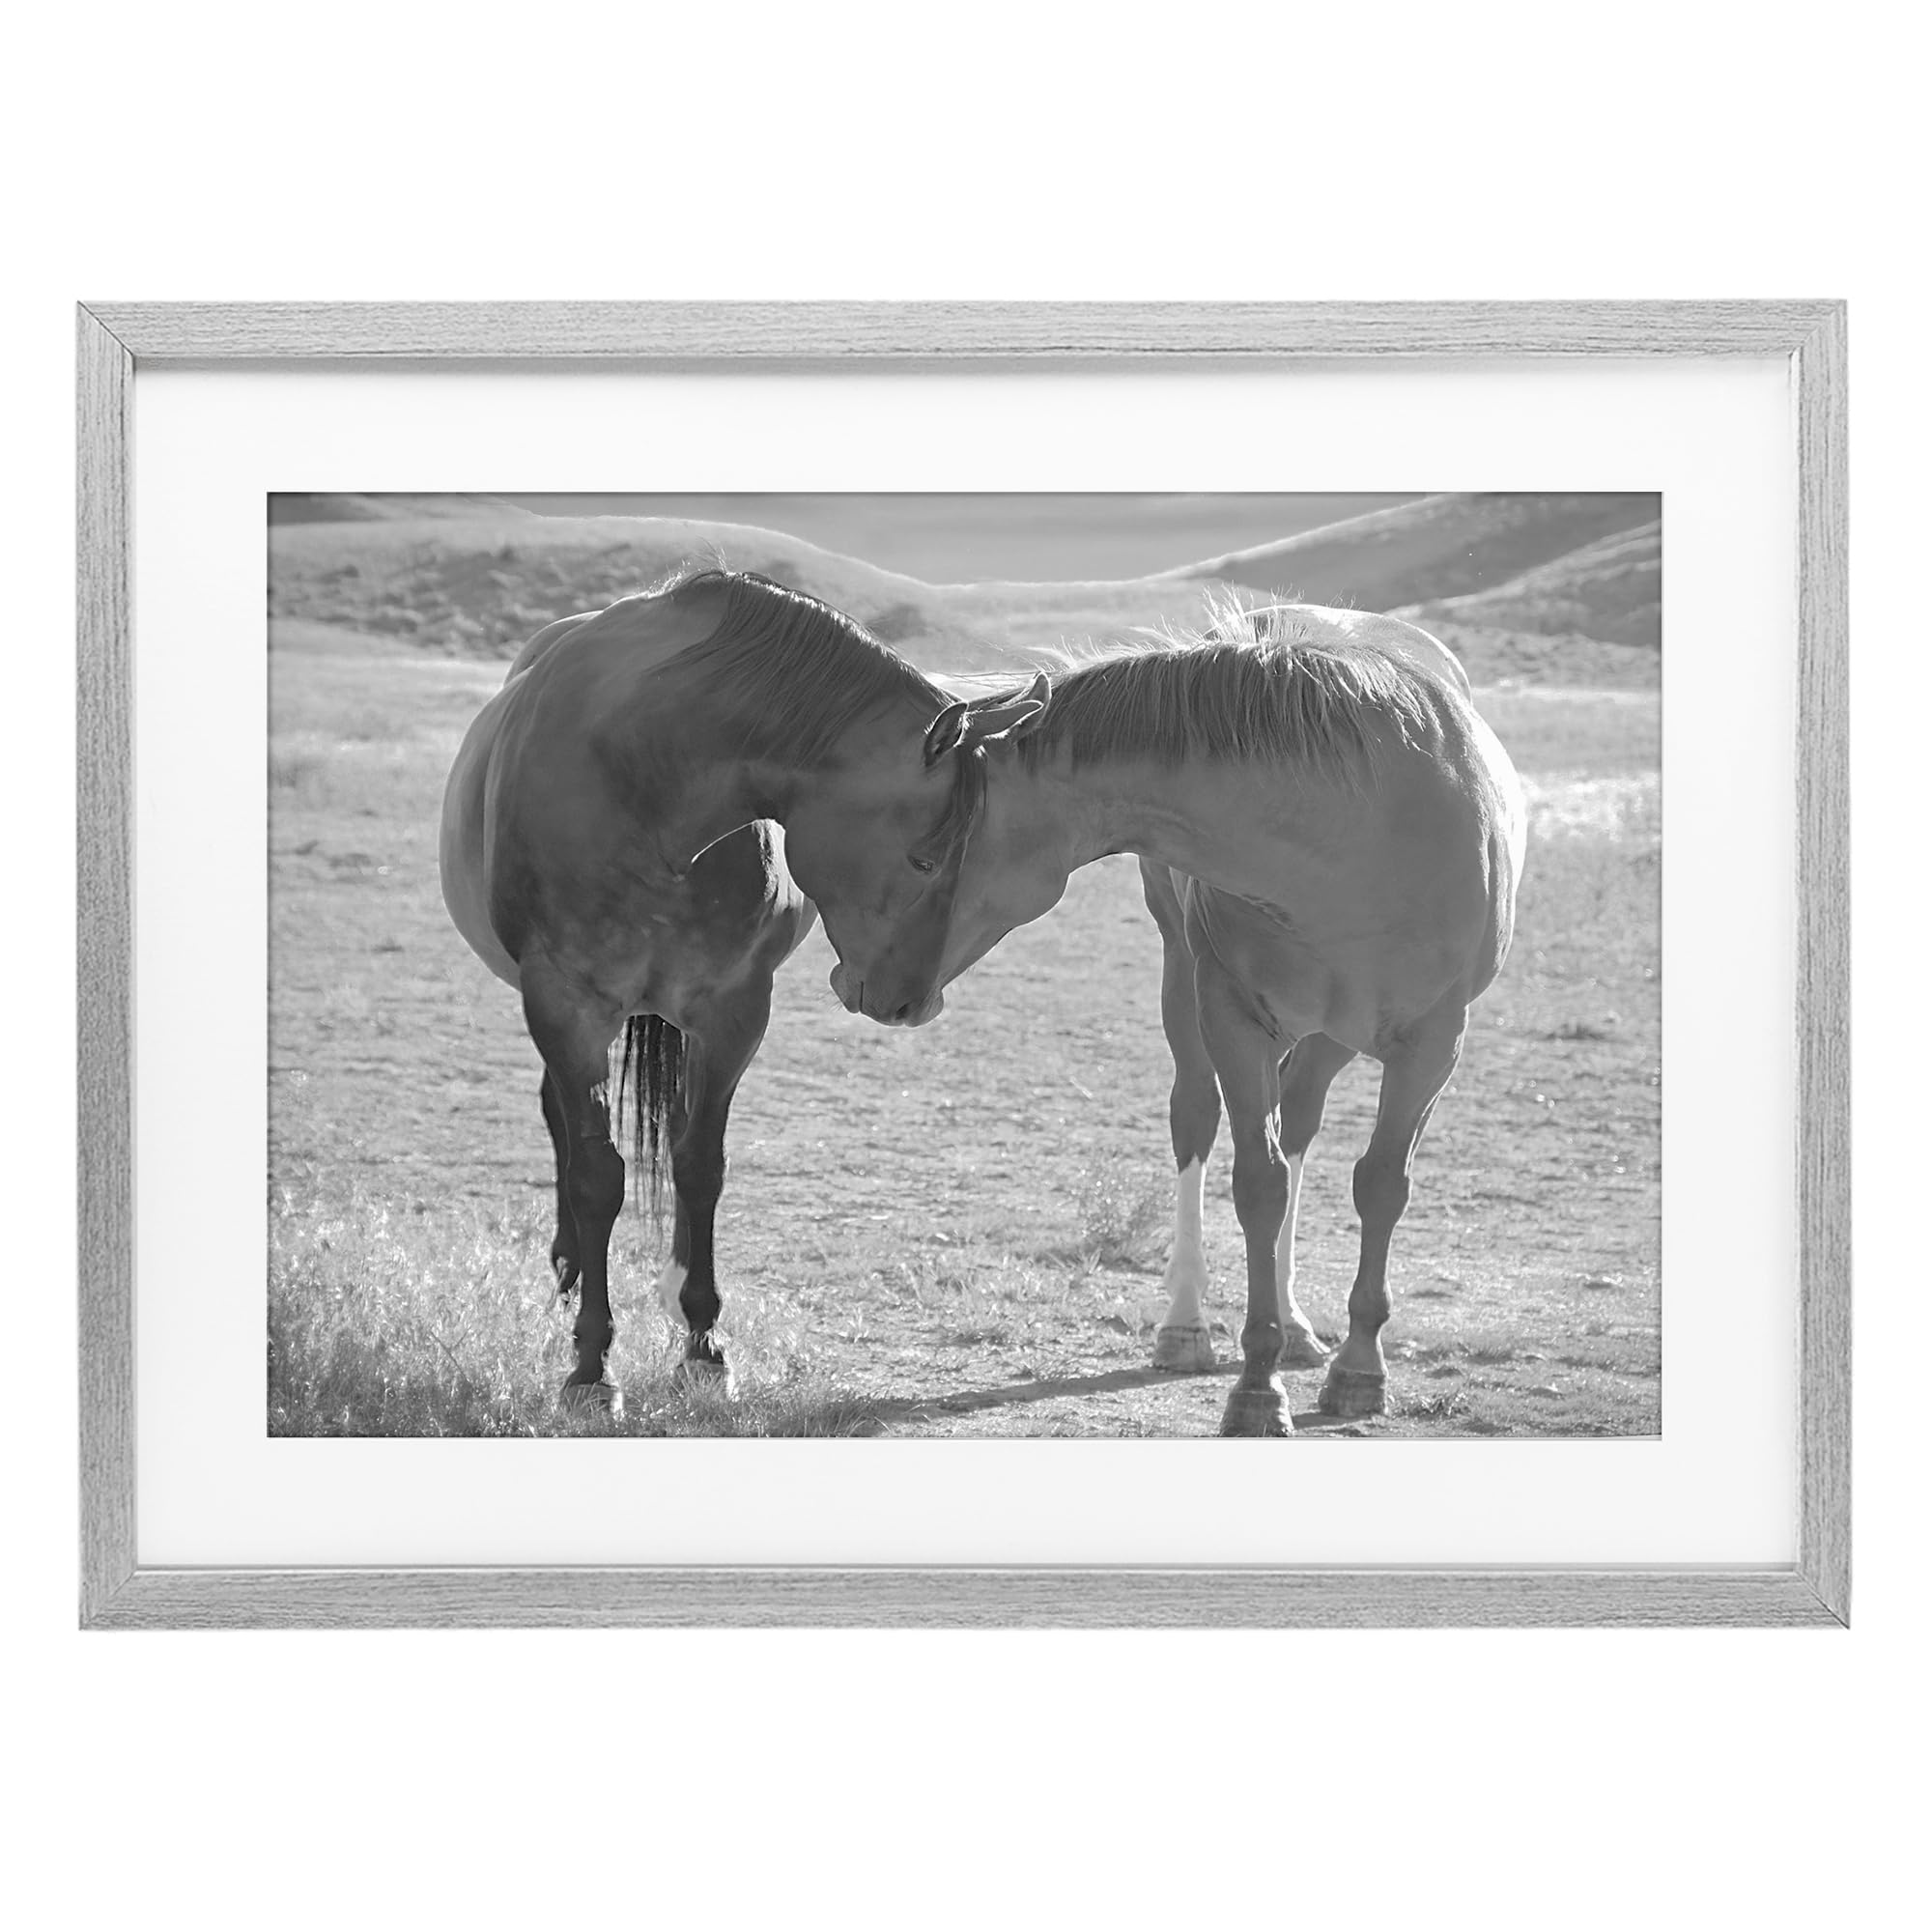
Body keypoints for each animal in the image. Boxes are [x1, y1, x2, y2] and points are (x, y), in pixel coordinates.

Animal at [439, 566, 1036, 1410]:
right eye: (925, 857)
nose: (912, 1002)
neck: (644, 781)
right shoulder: (564, 1005)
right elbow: (596, 1175)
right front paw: (591, 1365)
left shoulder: (732, 1012)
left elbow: (700, 1165)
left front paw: (702, 1344)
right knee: (560, 1119)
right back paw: (569, 1266)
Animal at [843, 595, 1527, 1438]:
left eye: (924, 855)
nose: (863, 986)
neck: (1354, 831)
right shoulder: (1232, 1018)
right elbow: (1258, 1184)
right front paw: (1258, 1387)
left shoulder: (1433, 1045)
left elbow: (1379, 1187)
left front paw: (1359, 1368)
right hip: (1187, 985)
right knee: (1197, 1120)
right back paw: (1187, 1326)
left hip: (1332, 1035)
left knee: (1301, 1124)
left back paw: (1299, 1325)